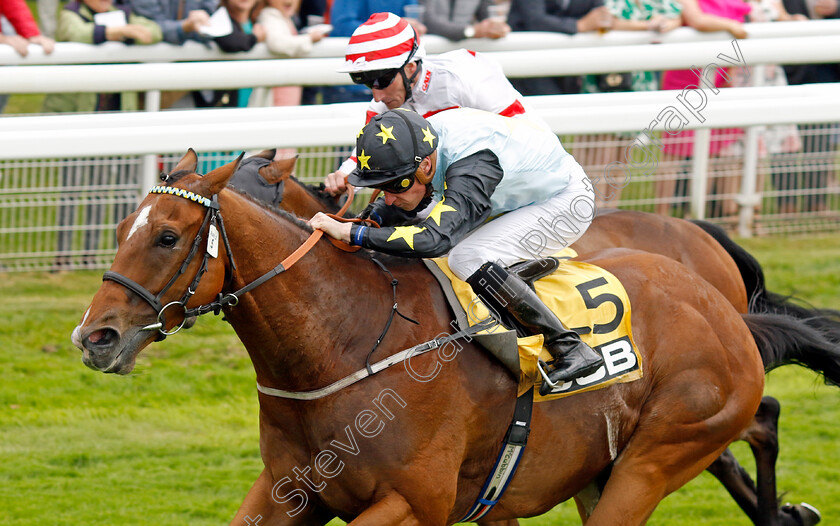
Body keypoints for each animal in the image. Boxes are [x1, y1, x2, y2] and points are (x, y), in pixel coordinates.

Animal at [74, 152, 832, 524]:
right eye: (121, 230)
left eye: (167, 236)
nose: (95, 337)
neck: (345, 343)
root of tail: (724, 312)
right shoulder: (290, 491)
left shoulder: (415, 504)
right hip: (599, 467)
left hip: (660, 455)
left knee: (755, 422)